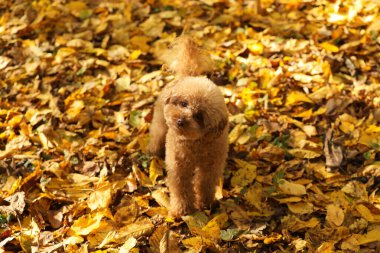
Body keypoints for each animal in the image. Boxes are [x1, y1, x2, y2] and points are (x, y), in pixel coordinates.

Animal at [148, 37, 229, 217]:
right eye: (183, 103)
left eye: (199, 116)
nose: (180, 121)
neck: (197, 143)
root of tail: (187, 75)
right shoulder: (178, 166)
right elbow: (181, 187)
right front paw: (183, 210)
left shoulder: (210, 167)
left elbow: (205, 184)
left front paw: (205, 203)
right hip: (161, 120)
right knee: (156, 134)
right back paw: (154, 150)